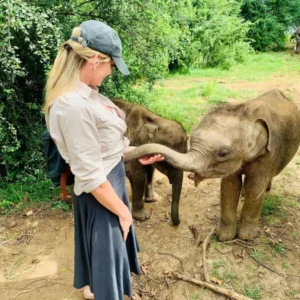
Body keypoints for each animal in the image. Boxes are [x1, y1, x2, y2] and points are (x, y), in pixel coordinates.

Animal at [125, 90, 300, 240]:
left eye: (223, 153)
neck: (245, 114)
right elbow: (229, 186)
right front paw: (224, 237)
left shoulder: (268, 153)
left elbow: (255, 187)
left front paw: (247, 237)